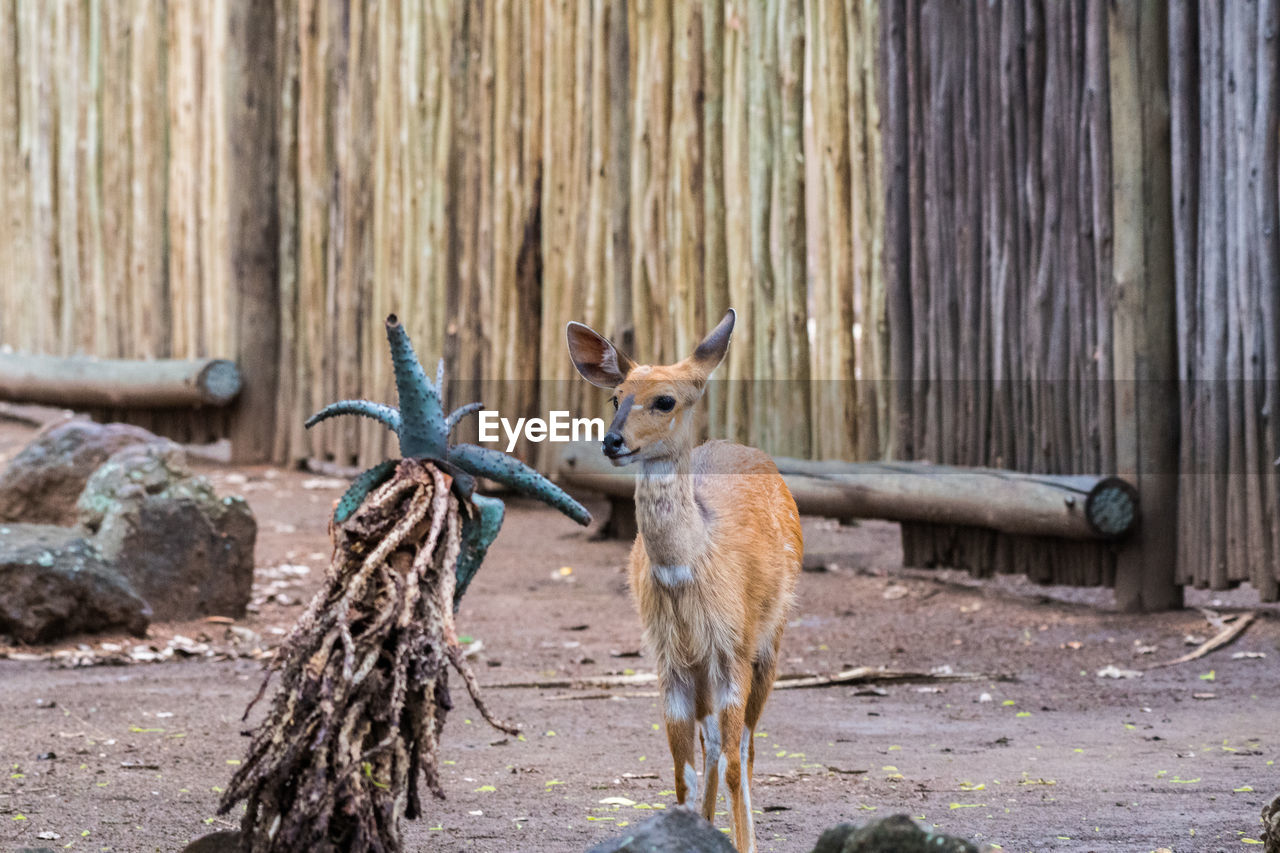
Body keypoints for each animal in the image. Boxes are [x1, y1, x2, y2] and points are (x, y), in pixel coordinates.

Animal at [568, 308, 798, 845]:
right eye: (616, 397)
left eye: (665, 400)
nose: (611, 441)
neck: (689, 570)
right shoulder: (668, 658)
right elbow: (680, 772)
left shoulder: (734, 647)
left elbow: (734, 761)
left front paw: (744, 844)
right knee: (711, 739)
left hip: (770, 642)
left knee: (744, 747)